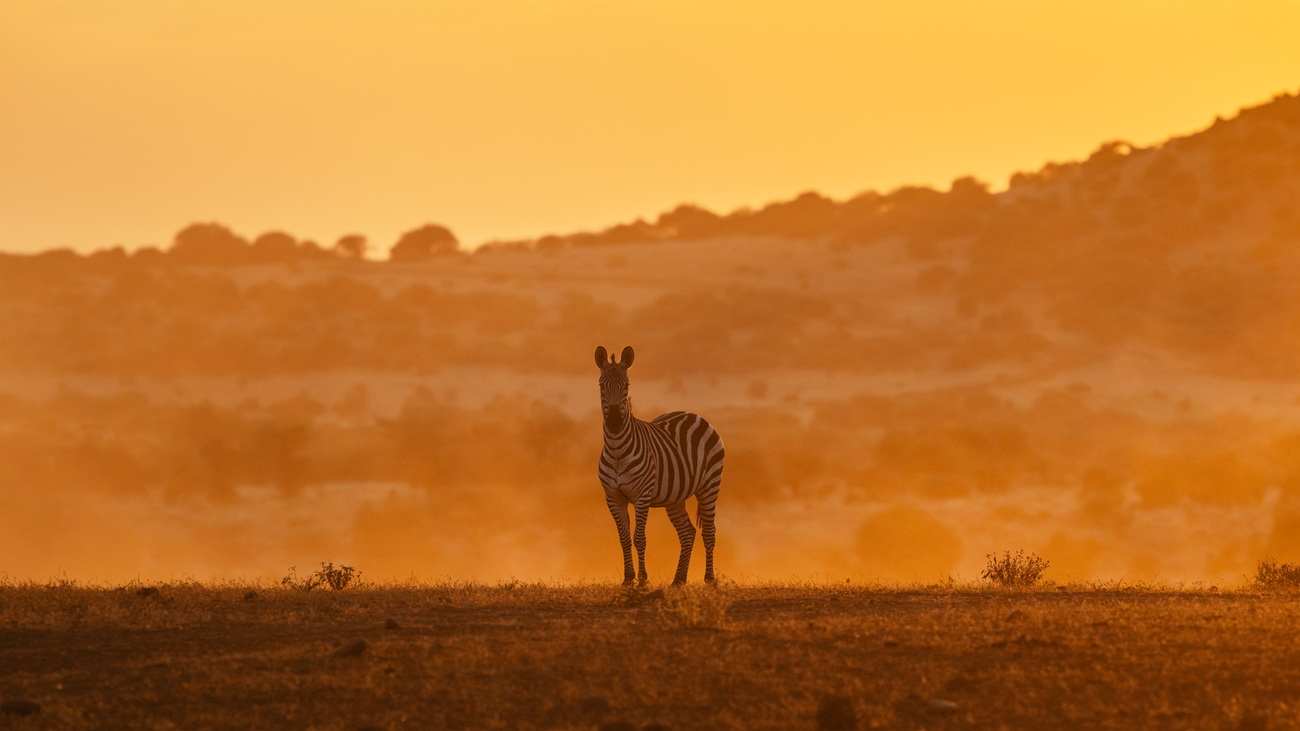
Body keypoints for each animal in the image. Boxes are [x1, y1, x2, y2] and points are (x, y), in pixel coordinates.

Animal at [595, 343, 728, 582]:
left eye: (626, 386)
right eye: (602, 386)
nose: (615, 423)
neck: (617, 450)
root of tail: (693, 414)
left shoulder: (642, 496)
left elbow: (639, 538)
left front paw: (642, 579)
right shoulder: (613, 497)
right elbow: (624, 539)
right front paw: (628, 579)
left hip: (710, 485)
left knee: (709, 532)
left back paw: (709, 579)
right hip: (676, 497)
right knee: (688, 533)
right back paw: (678, 580)